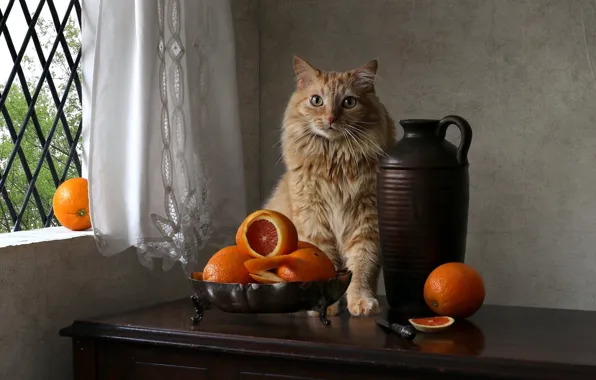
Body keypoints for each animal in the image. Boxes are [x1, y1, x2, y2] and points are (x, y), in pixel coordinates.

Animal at [264, 56, 396, 316]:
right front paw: (325, 307)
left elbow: (361, 269)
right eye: (317, 100)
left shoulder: (366, 225)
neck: (336, 162)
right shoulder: (314, 222)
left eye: (349, 102)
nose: (331, 119)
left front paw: (360, 302)